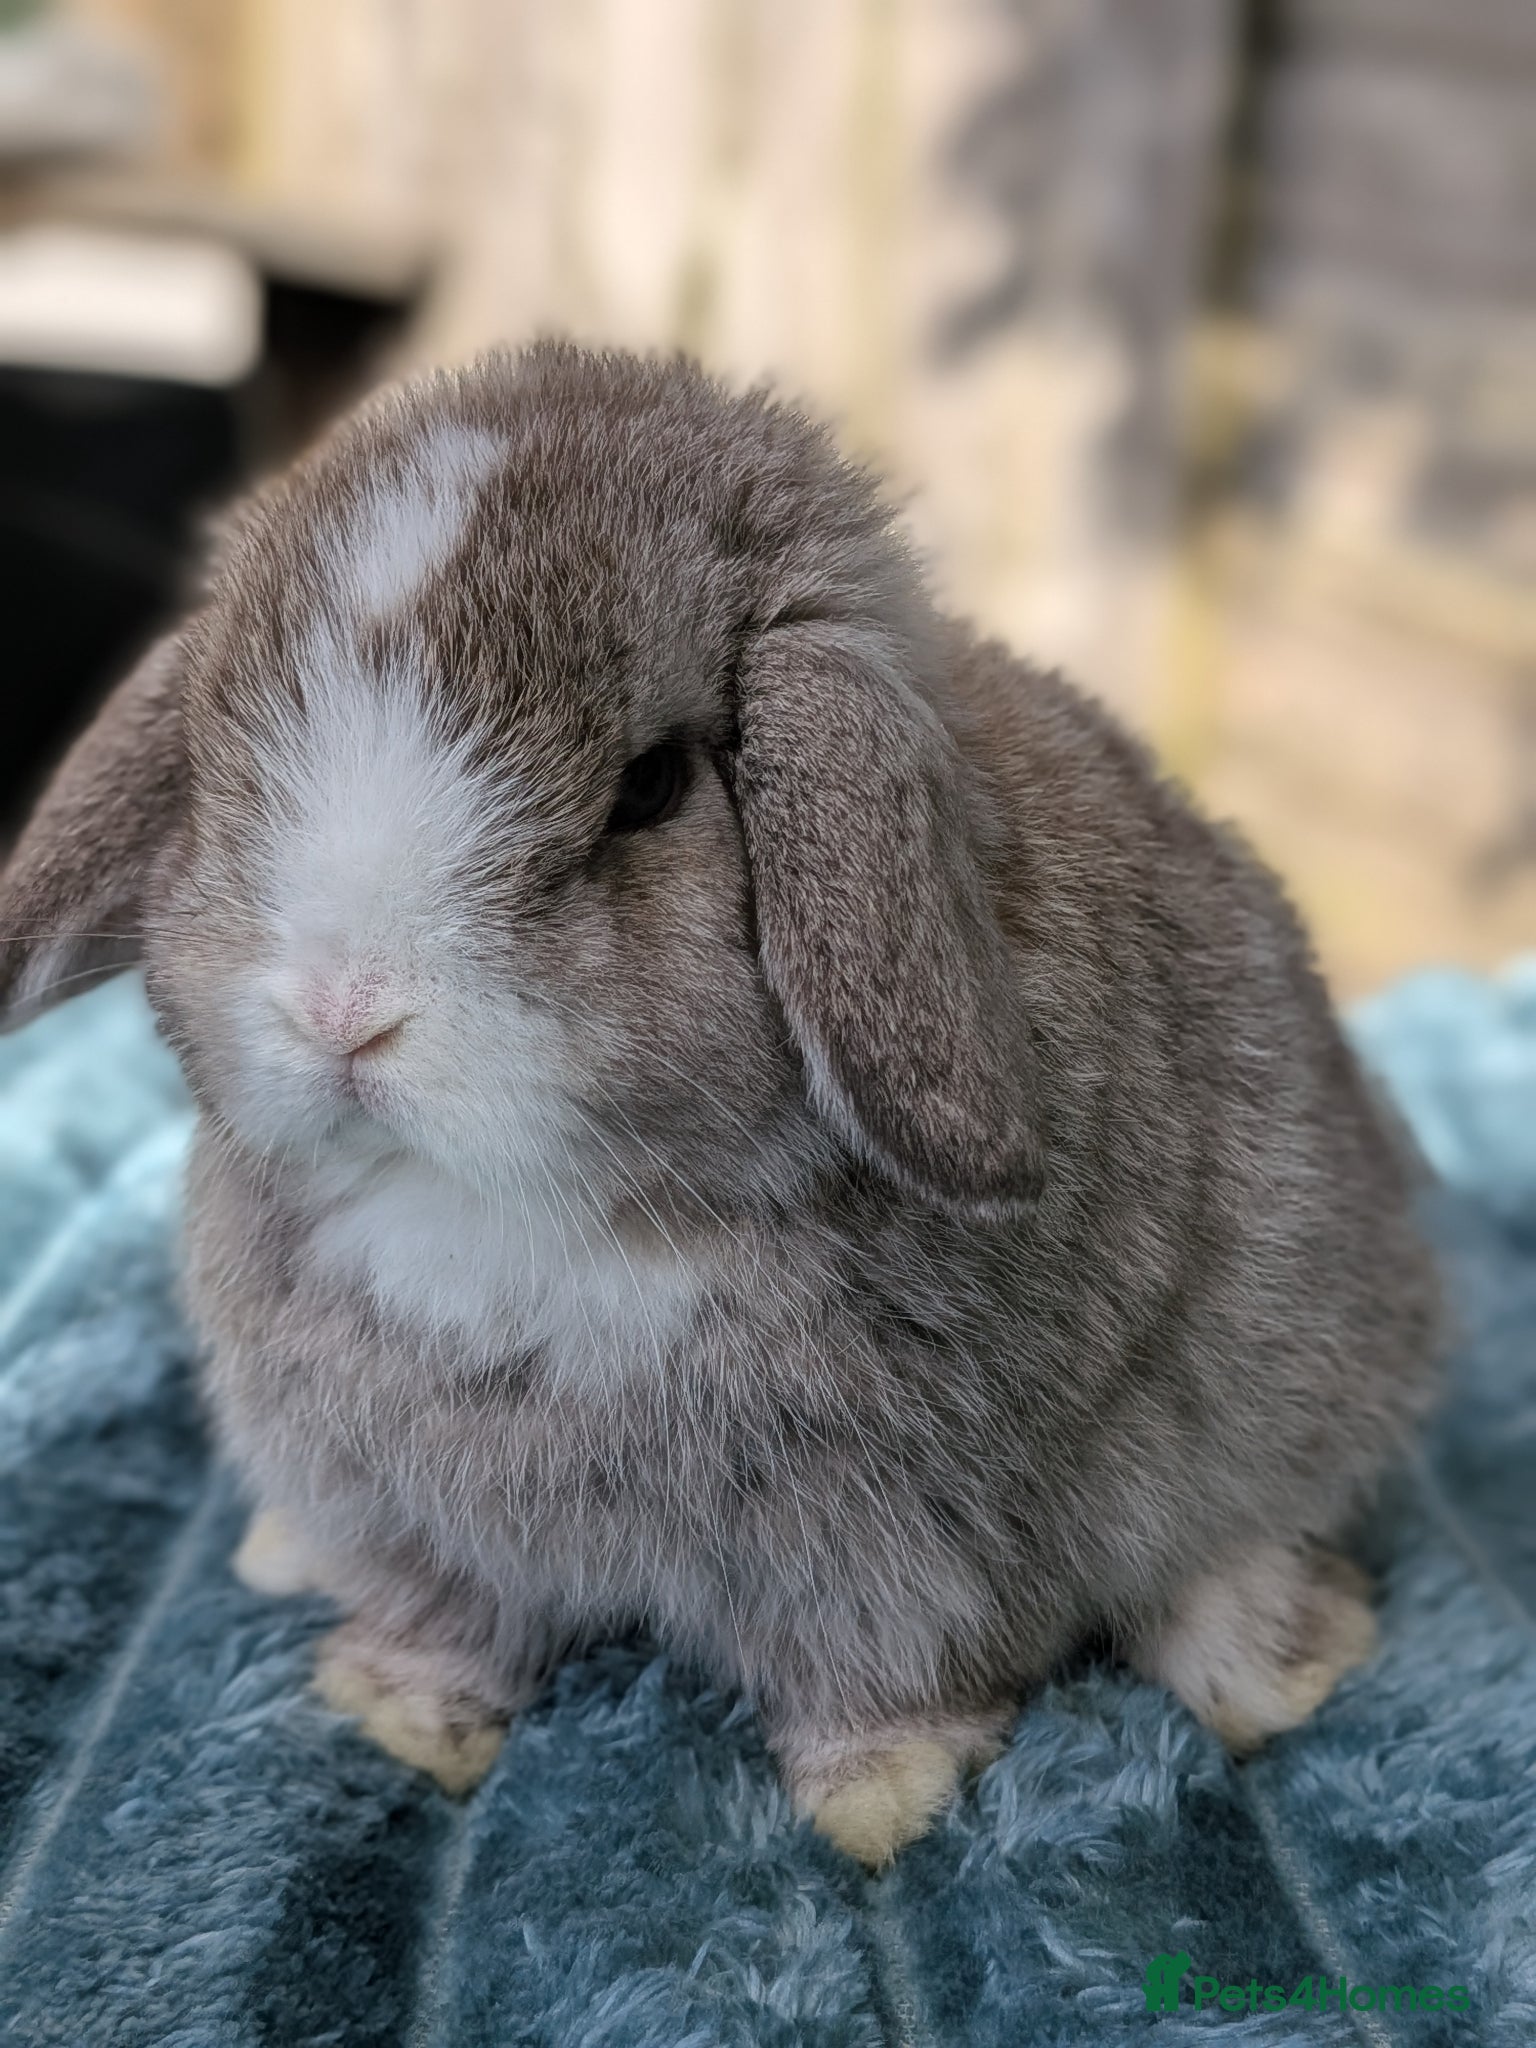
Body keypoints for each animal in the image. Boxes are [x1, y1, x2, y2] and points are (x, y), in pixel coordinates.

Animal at [0, 342, 1438, 1866]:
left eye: (653, 787)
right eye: (221, 766)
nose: (343, 1009)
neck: (511, 1221)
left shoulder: (889, 1547)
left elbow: (877, 1674)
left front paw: (880, 1804)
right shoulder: (414, 1517)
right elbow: (444, 1622)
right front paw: (397, 1717)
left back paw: (1275, 1670)